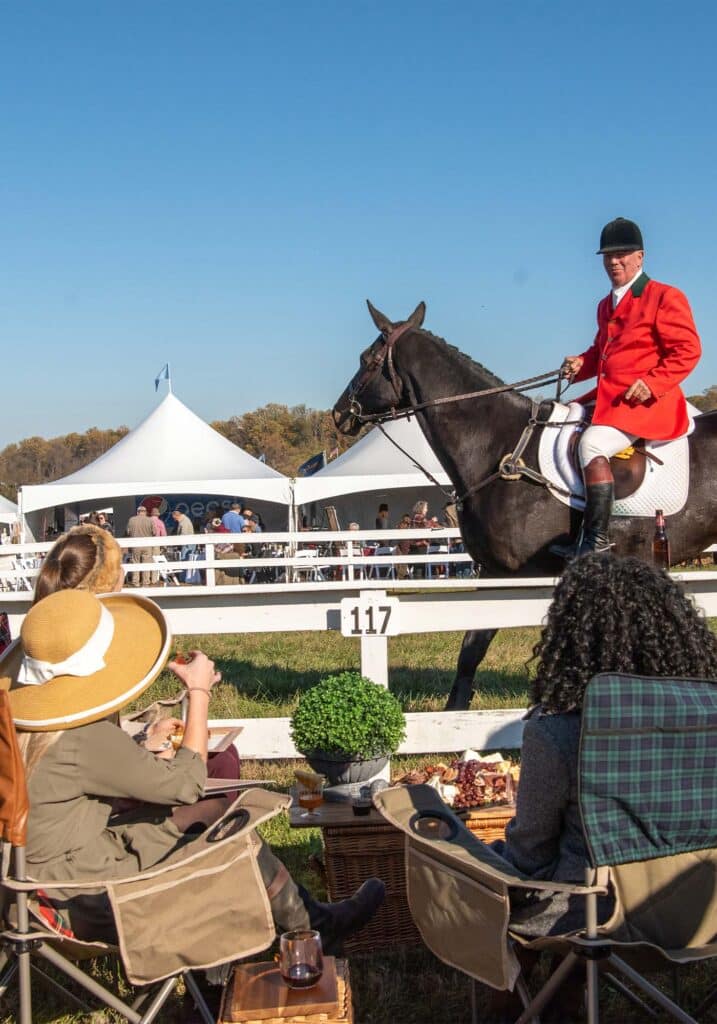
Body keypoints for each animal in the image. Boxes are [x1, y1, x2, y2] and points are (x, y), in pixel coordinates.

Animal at [333, 299, 717, 708]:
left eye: (367, 358)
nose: (340, 413)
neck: (497, 447)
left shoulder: (525, 573)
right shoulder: (494, 571)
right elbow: (472, 645)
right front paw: (456, 710)